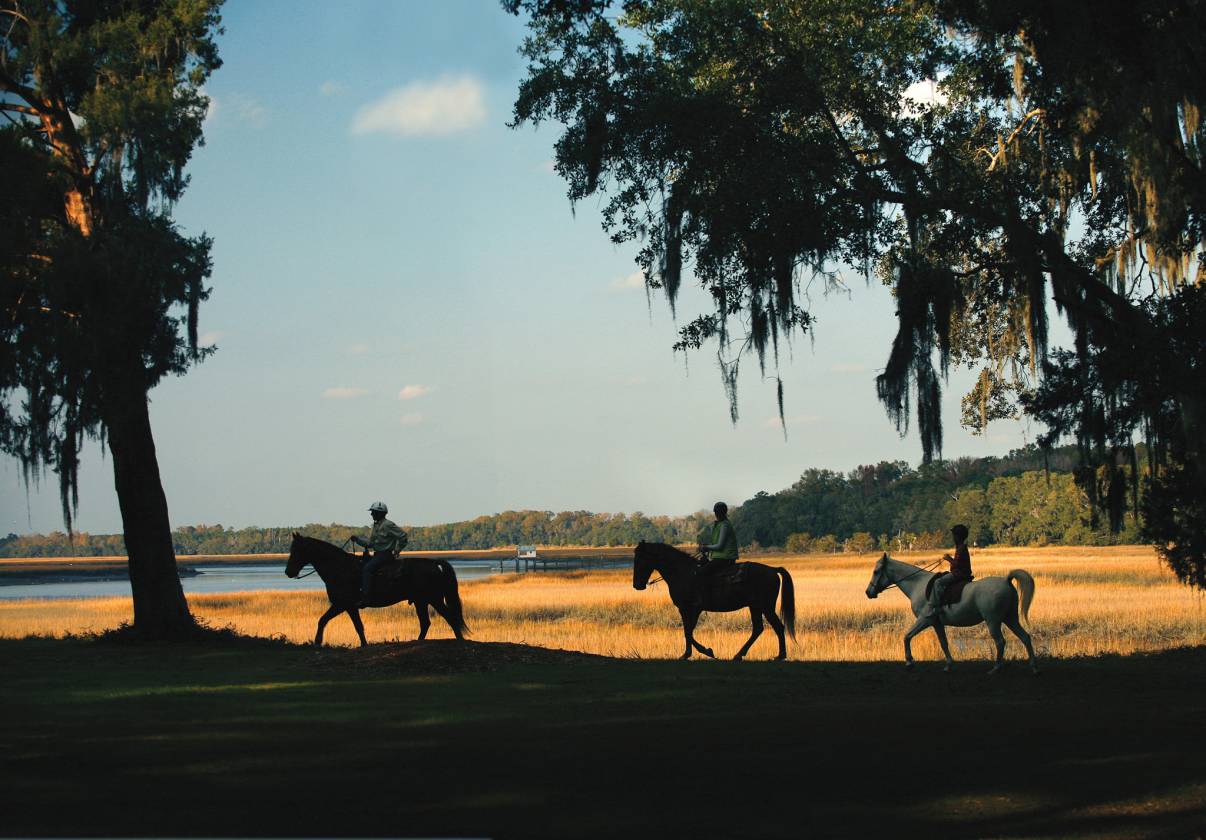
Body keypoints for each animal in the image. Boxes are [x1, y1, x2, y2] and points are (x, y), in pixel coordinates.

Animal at [284, 533, 468, 646]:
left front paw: (317, 641)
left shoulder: (343, 605)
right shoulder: (346, 606)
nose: (288, 572)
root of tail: (435, 564)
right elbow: (352, 626)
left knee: (450, 618)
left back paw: (459, 641)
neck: (340, 568)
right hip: (420, 601)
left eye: (297, 550)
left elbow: (329, 621)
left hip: (434, 599)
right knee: (425, 623)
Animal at [632, 541, 796, 660]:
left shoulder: (690, 608)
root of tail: (772, 570)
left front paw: (702, 652)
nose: (637, 585)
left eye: (640, 559)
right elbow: (688, 631)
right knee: (758, 629)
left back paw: (780, 656)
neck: (683, 573)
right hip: (755, 607)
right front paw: (690, 653)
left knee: (777, 627)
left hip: (765, 607)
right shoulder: (688, 609)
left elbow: (688, 631)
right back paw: (739, 655)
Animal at [864, 552, 1038, 674]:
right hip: (1010, 619)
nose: (868, 592)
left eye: (876, 571)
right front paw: (948, 665)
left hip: (993, 621)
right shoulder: (936, 623)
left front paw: (909, 662)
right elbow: (943, 643)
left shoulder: (925, 620)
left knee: (1001, 642)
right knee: (1025, 637)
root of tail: (1006, 581)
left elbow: (907, 637)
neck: (918, 585)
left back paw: (996, 668)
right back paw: (1034, 668)